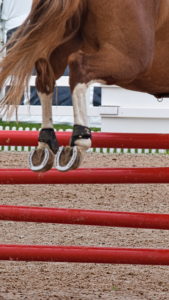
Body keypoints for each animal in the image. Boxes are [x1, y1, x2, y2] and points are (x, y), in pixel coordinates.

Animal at [0, 0, 169, 172]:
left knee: (45, 77)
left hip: (60, 43)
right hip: (129, 60)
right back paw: (80, 140)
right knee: (78, 67)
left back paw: (45, 144)